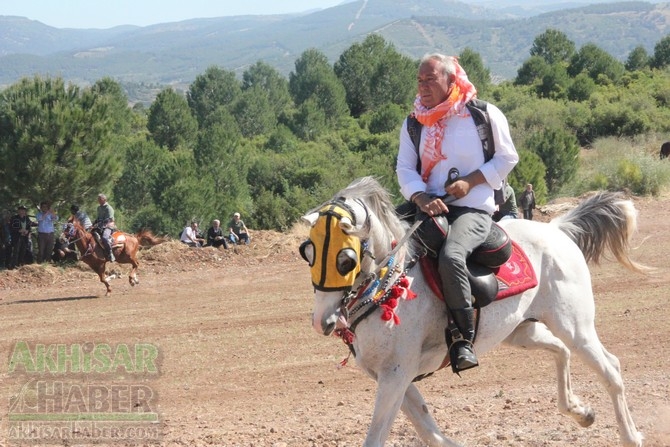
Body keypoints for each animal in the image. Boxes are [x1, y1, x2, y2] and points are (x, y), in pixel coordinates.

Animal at [302, 178, 648, 447]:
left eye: (345, 259)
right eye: (308, 251)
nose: (322, 321)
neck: (394, 284)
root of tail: (556, 230)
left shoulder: (396, 375)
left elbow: (378, 436)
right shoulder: (393, 377)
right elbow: (429, 431)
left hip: (575, 327)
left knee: (610, 369)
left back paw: (630, 436)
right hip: (522, 331)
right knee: (560, 350)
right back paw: (580, 412)